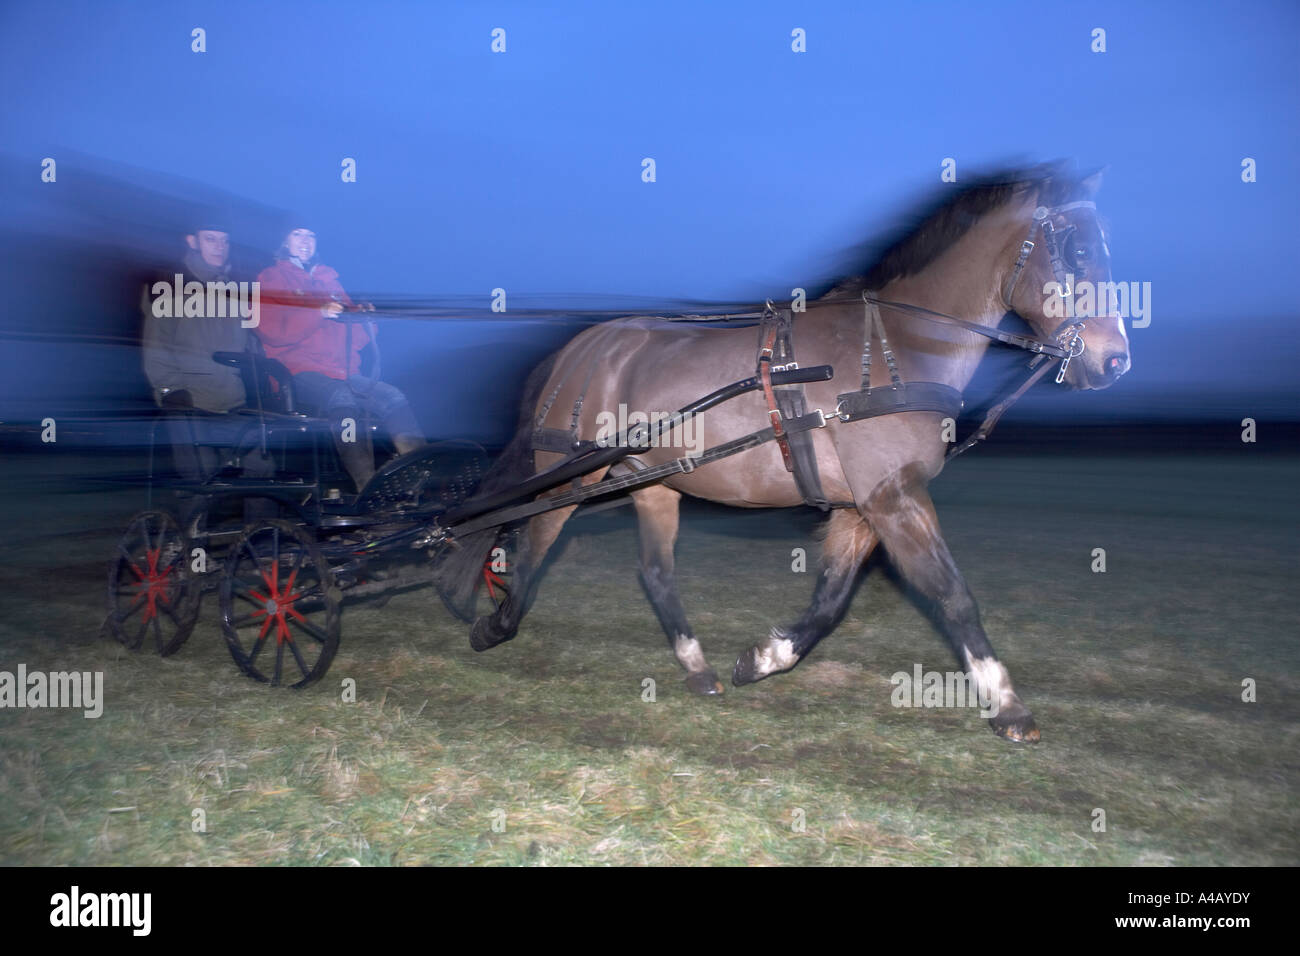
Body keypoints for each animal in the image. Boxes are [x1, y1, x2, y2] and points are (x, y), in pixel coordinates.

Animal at [434, 164, 1131, 742]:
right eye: (1078, 249)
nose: (1114, 361)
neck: (895, 346)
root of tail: (579, 351)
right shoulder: (893, 497)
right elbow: (952, 593)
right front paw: (1008, 705)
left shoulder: (862, 507)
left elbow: (828, 604)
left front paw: (763, 658)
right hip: (565, 473)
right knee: (531, 541)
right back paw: (496, 625)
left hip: (654, 483)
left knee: (655, 572)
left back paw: (698, 668)